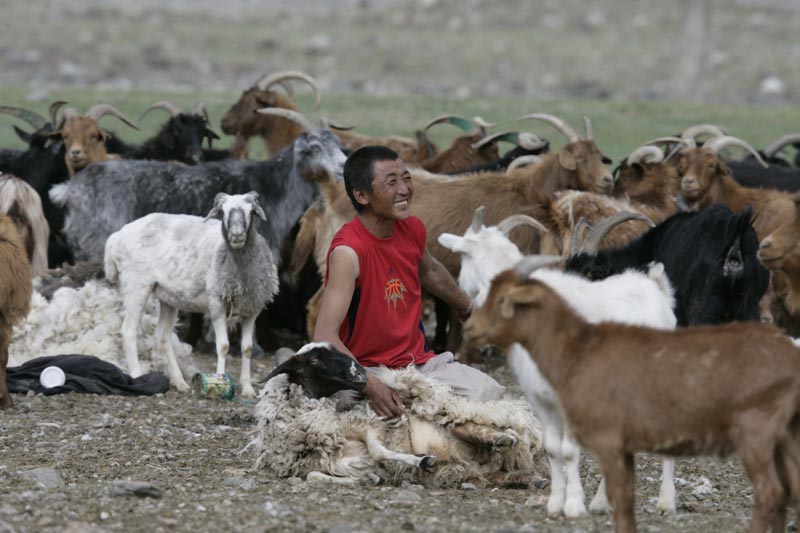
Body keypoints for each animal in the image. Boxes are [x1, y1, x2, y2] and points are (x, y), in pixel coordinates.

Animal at [104, 192, 279, 397]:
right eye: (223, 212)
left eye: (251, 211)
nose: (237, 235)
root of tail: (117, 235)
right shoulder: (216, 304)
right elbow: (223, 346)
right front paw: (220, 381)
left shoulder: (252, 308)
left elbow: (247, 348)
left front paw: (248, 388)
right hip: (136, 284)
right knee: (129, 330)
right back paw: (138, 376)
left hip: (168, 296)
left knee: (162, 337)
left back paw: (179, 382)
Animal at [253, 342, 545, 487]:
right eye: (314, 360)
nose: (359, 371)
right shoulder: (325, 460)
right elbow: (315, 476)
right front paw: (368, 477)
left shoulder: (364, 423)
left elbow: (378, 451)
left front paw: (421, 460)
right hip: (470, 468)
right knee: (491, 470)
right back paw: (525, 475)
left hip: (443, 417)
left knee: (465, 425)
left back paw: (502, 439)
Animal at [438, 210, 678, 517]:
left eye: (463, 258)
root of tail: (655, 287)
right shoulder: (541, 397)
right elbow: (552, 448)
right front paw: (555, 503)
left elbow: (568, 450)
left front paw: (574, 505)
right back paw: (602, 501)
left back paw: (666, 501)